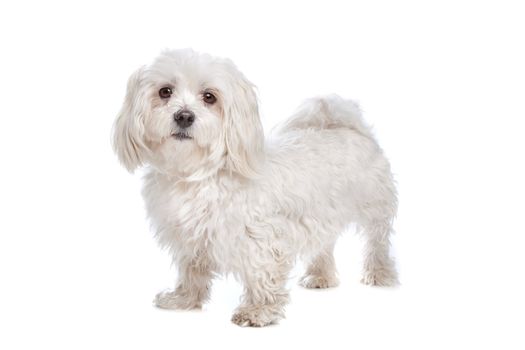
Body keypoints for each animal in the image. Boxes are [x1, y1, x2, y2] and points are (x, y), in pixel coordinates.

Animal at [111, 47, 398, 326]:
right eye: (165, 91)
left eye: (209, 97)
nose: (184, 116)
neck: (200, 175)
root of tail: (345, 125)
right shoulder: (190, 238)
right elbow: (192, 271)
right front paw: (184, 299)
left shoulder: (263, 238)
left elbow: (262, 273)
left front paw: (258, 311)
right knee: (324, 244)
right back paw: (320, 276)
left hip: (374, 208)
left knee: (377, 241)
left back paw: (380, 273)